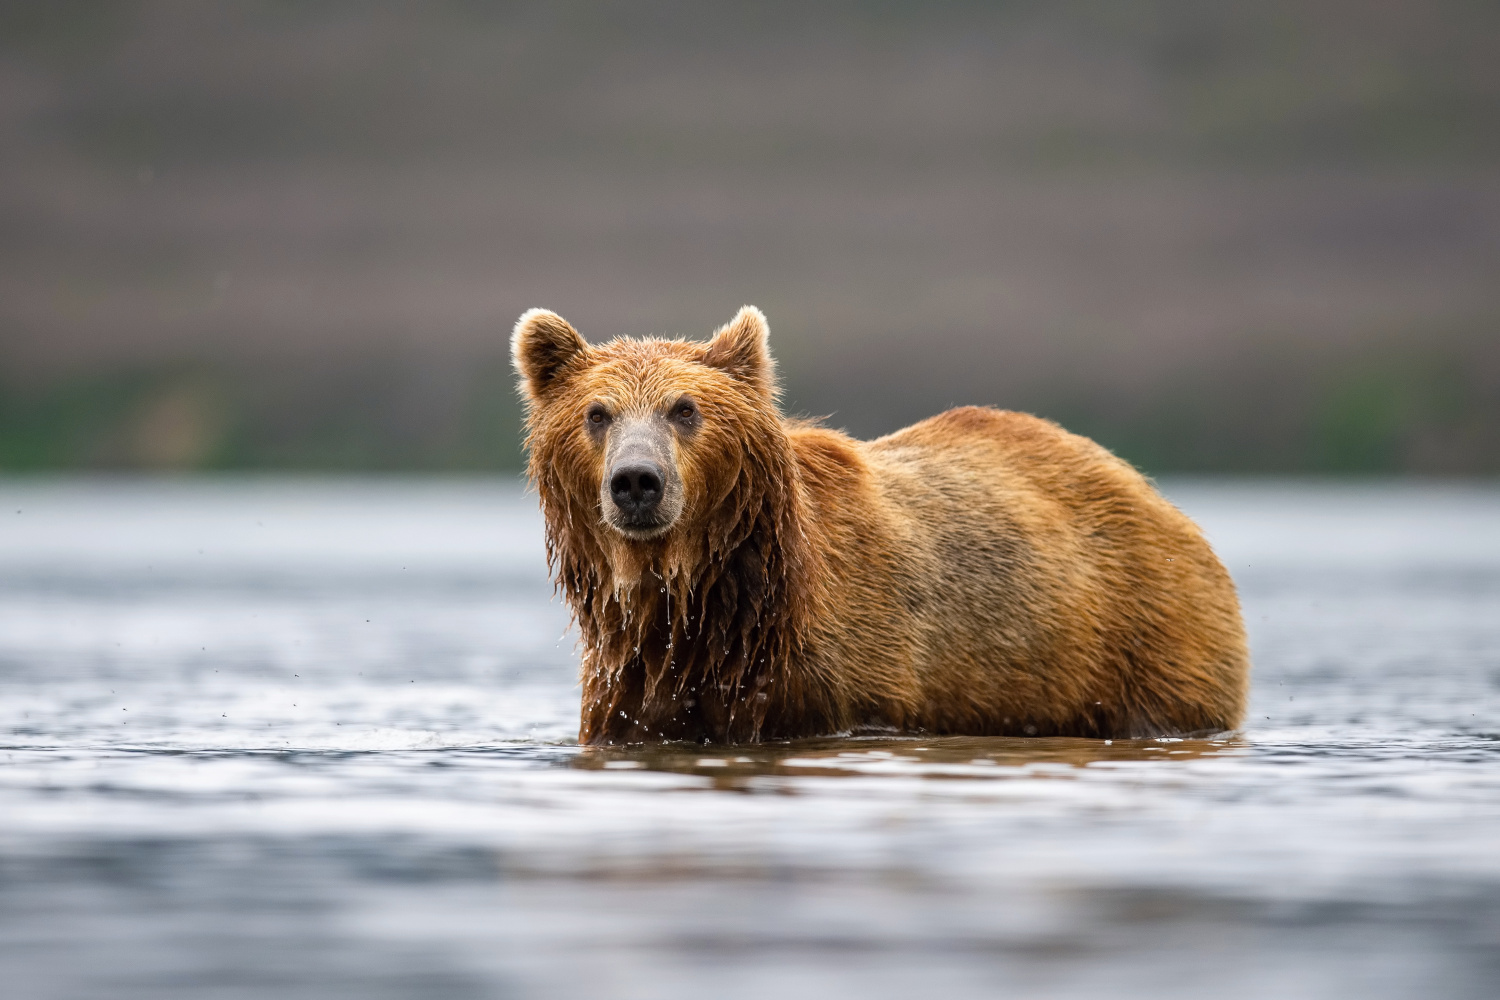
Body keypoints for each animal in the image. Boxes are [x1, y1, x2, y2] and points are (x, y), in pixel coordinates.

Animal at [516, 305, 1254, 743]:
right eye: (597, 413)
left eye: (684, 408)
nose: (637, 482)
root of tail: (1156, 496)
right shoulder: (636, 685)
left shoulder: (845, 680)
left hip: (1145, 643)